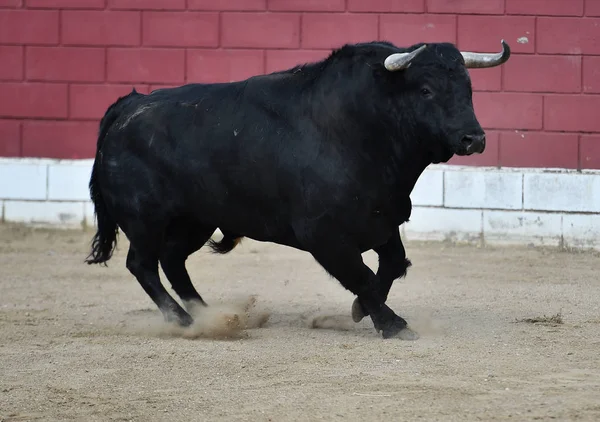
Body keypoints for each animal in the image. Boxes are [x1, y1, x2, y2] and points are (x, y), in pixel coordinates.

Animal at [84, 39, 510, 342]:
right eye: (425, 90)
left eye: (468, 88)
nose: (473, 138)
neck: (363, 129)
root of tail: (130, 104)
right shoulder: (324, 235)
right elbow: (360, 274)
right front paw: (391, 323)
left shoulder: (382, 219)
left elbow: (391, 265)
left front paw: (361, 310)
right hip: (146, 219)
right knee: (142, 265)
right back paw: (188, 321)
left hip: (195, 220)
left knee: (173, 261)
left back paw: (213, 314)